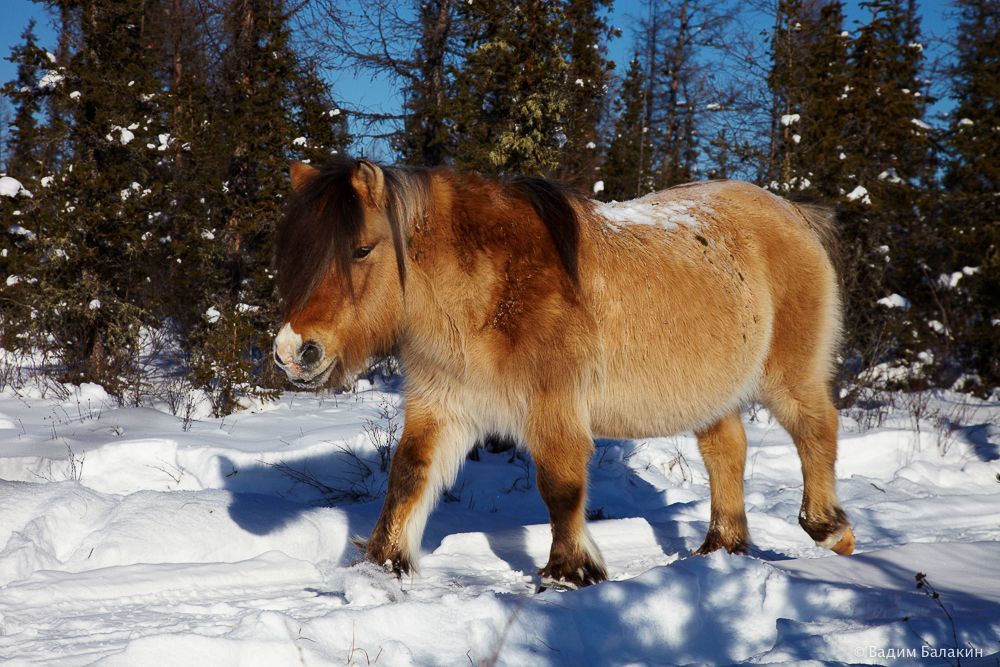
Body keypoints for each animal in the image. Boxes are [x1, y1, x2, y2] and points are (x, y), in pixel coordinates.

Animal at [272, 155, 855, 589]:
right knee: (726, 450)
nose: (293, 351)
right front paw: (385, 563)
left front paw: (569, 572)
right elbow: (409, 475)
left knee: (816, 428)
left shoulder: (553, 405)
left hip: (789, 376)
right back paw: (720, 549)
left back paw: (829, 530)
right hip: (712, 393)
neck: (496, 290)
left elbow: (560, 484)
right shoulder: (443, 402)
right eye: (295, 254)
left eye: (361, 249)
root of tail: (792, 212)